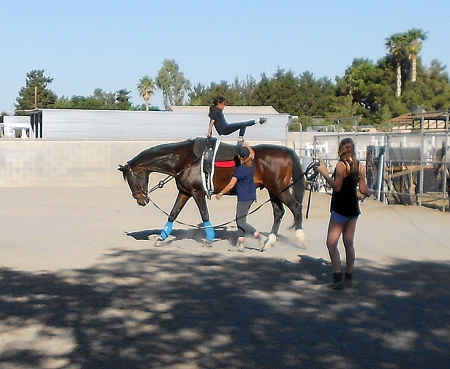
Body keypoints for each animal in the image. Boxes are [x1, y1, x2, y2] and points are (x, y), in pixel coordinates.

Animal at [118, 137, 308, 249]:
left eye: (131, 180)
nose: (141, 201)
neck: (184, 160)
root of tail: (286, 151)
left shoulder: (197, 192)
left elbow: (204, 214)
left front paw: (209, 238)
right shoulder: (184, 192)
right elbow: (173, 214)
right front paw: (161, 238)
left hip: (278, 189)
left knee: (296, 207)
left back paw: (301, 239)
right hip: (273, 191)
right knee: (279, 212)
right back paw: (270, 241)